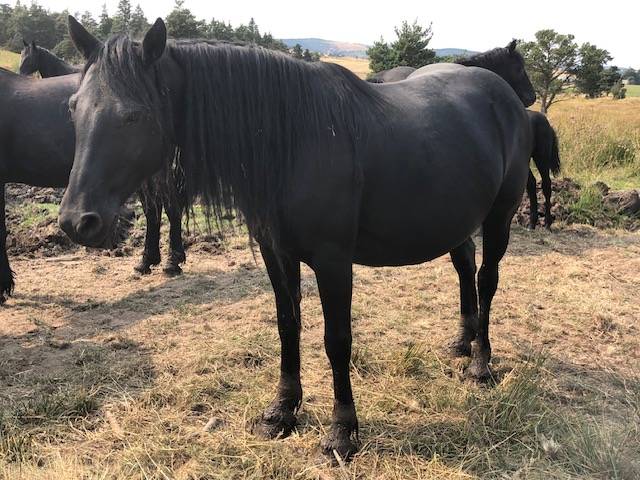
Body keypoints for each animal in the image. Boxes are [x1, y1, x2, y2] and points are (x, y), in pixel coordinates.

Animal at [18, 40, 187, 275]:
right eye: (21, 56)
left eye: (28, 58)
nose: (21, 73)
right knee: (154, 207)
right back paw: (148, 260)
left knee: (170, 204)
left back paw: (172, 260)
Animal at [59, 17, 534, 459]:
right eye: (72, 107)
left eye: (133, 115)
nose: (77, 221)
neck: (295, 140)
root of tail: (502, 94)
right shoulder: (278, 254)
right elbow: (288, 326)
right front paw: (282, 412)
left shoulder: (333, 261)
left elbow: (337, 340)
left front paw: (342, 433)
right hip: (455, 219)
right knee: (465, 266)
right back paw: (462, 342)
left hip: (499, 216)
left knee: (487, 279)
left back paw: (481, 364)